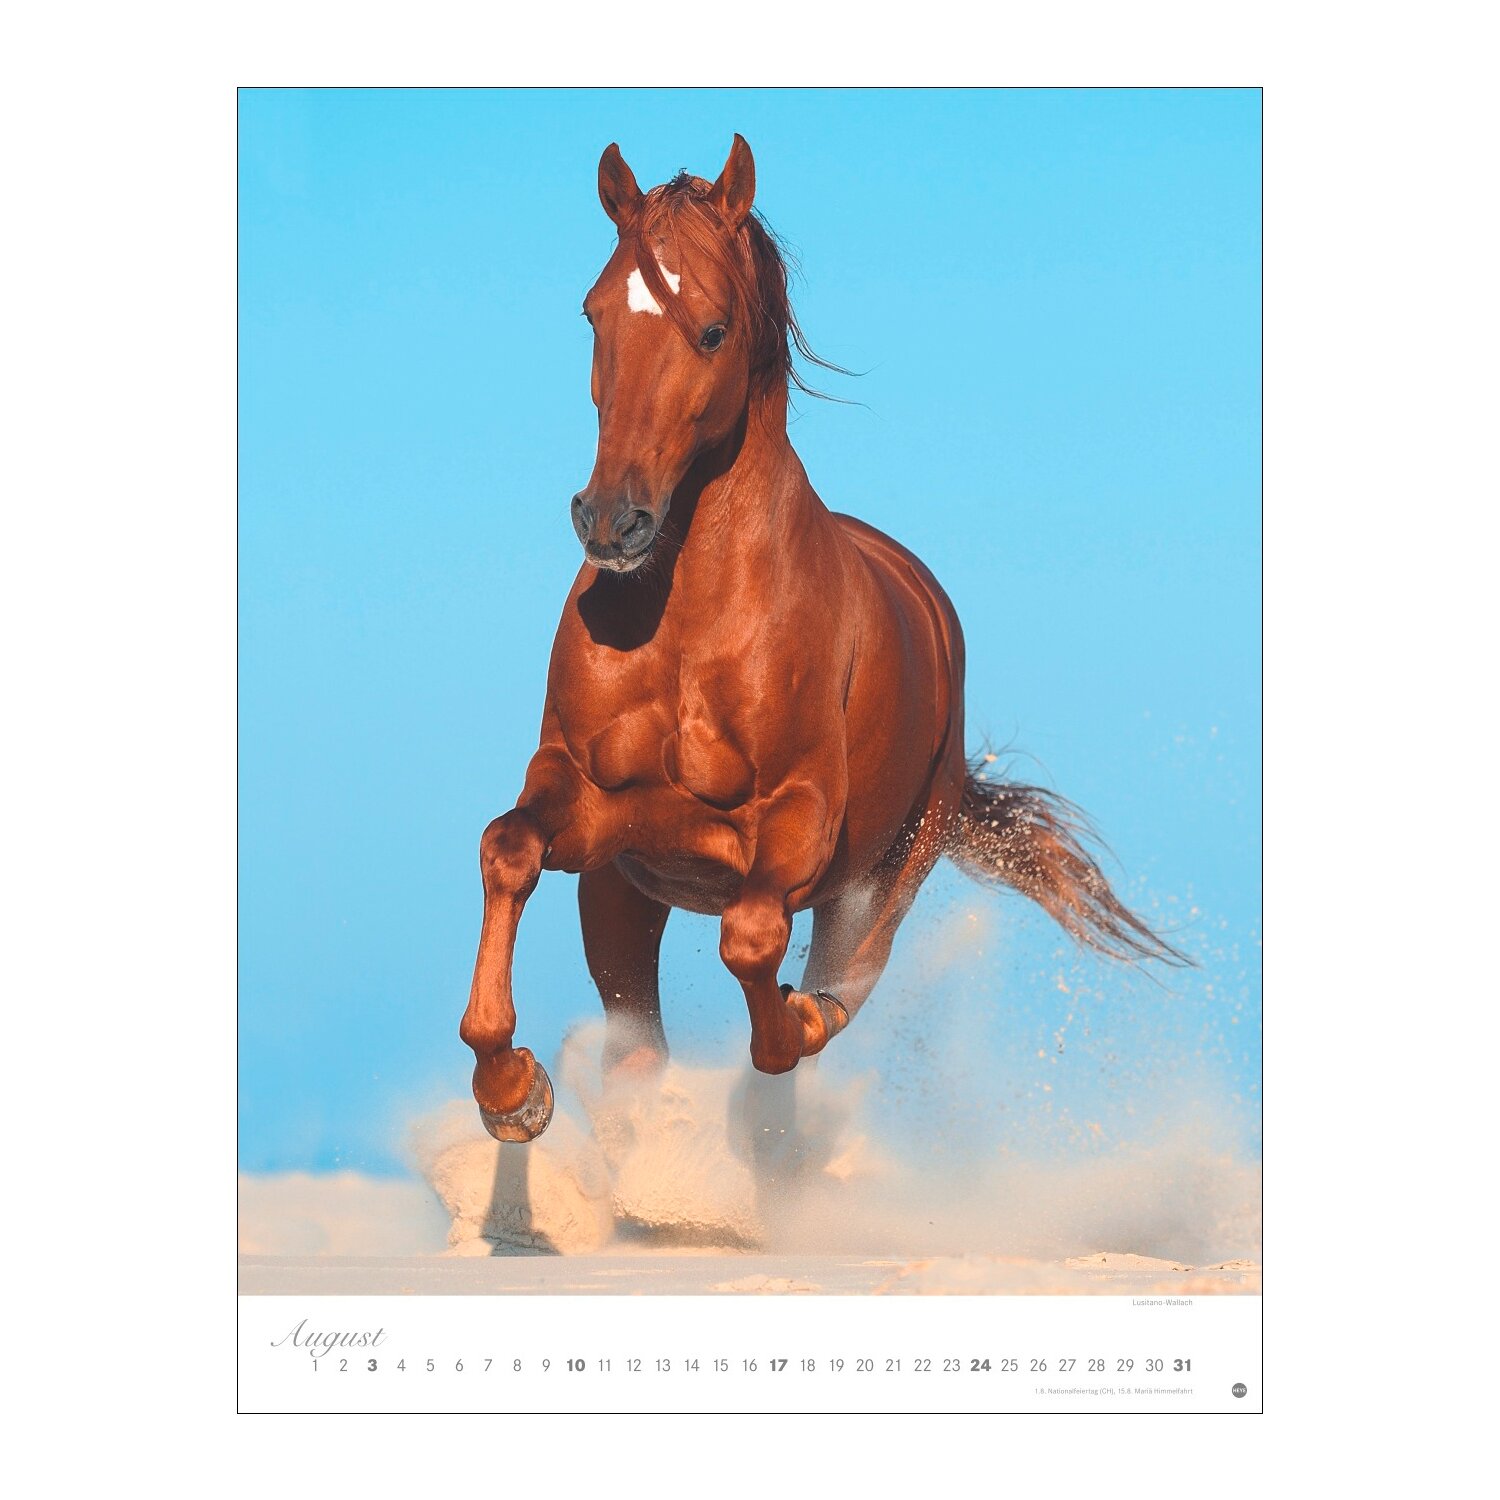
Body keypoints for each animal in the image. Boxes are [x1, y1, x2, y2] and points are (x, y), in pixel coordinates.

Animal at [460, 134, 1183, 1143]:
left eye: (712, 329)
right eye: (594, 313)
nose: (611, 522)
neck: (688, 629)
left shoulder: (800, 822)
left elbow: (754, 941)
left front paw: (785, 1024)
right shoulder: (591, 804)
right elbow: (508, 849)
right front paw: (513, 1088)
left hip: (887, 876)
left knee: (833, 988)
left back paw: (800, 1025)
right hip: (620, 896)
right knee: (639, 1049)